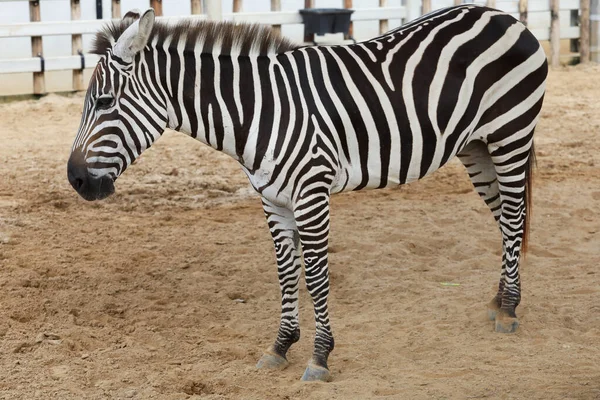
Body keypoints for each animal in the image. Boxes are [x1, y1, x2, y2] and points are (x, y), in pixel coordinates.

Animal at [67, 6, 548, 382]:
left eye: (105, 102)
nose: (75, 180)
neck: (259, 112)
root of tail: (505, 16)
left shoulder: (311, 193)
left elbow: (315, 275)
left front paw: (319, 357)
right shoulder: (272, 200)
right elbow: (285, 272)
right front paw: (280, 346)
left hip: (510, 135)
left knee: (515, 216)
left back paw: (510, 310)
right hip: (476, 147)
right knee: (506, 220)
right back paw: (500, 301)